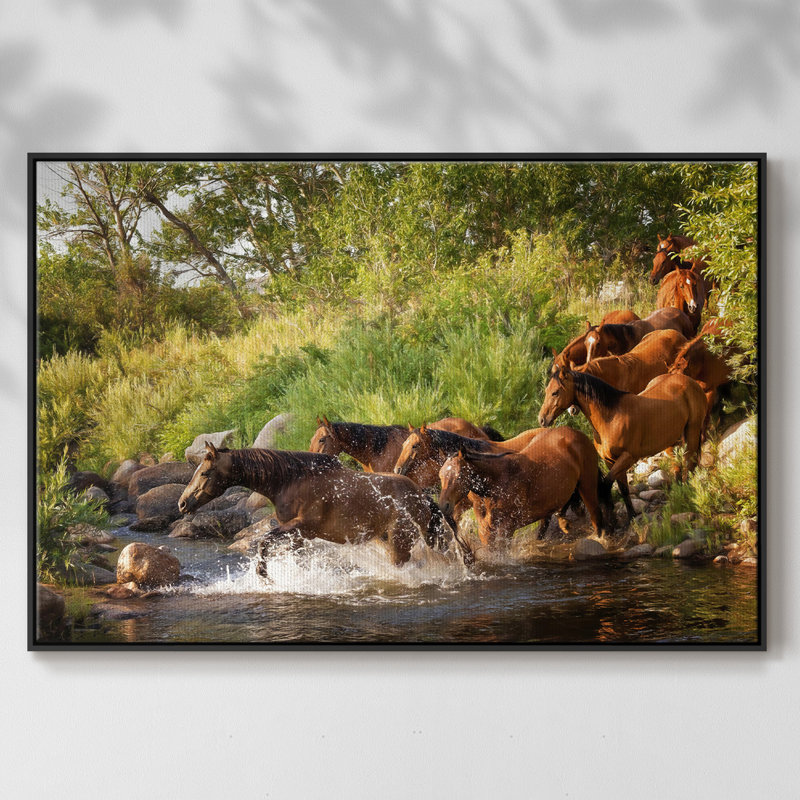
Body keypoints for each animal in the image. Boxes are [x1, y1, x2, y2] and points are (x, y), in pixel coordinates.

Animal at [178, 443, 471, 568]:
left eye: (205, 473)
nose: (182, 503)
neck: (289, 481)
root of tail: (422, 497)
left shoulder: (302, 527)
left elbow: (262, 543)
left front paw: (264, 575)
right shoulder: (297, 535)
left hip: (402, 541)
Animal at [437, 427, 609, 549]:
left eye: (458, 476)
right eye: (440, 475)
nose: (443, 505)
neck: (496, 484)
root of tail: (576, 433)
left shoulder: (506, 529)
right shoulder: (485, 531)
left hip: (587, 485)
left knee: (595, 515)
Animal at [537, 367, 706, 526]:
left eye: (555, 392)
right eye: (546, 391)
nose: (542, 419)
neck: (611, 418)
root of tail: (688, 381)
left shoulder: (628, 457)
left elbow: (606, 485)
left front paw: (610, 519)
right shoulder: (610, 461)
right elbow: (623, 488)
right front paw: (631, 517)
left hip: (692, 429)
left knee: (689, 461)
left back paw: (687, 490)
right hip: (670, 439)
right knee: (676, 463)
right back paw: (677, 491)